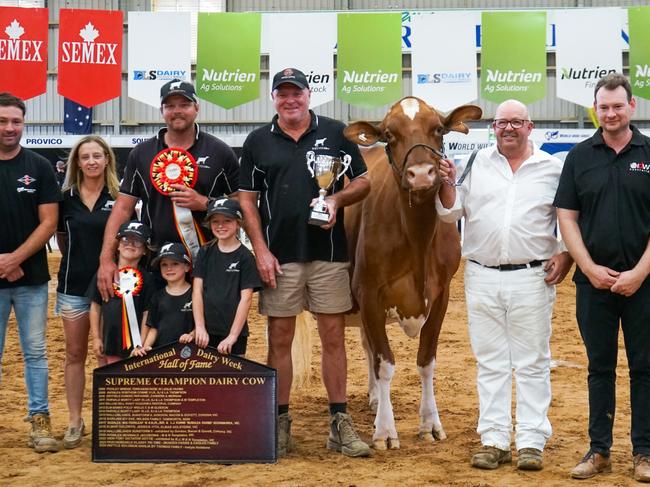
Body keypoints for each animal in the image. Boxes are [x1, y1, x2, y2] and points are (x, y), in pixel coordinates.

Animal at [344, 97, 480, 452]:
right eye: (389, 135)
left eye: (438, 129)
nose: (420, 174)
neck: (417, 237)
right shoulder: (368, 293)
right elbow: (386, 363)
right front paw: (385, 431)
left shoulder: (442, 294)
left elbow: (426, 360)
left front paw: (430, 423)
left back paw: (375, 400)